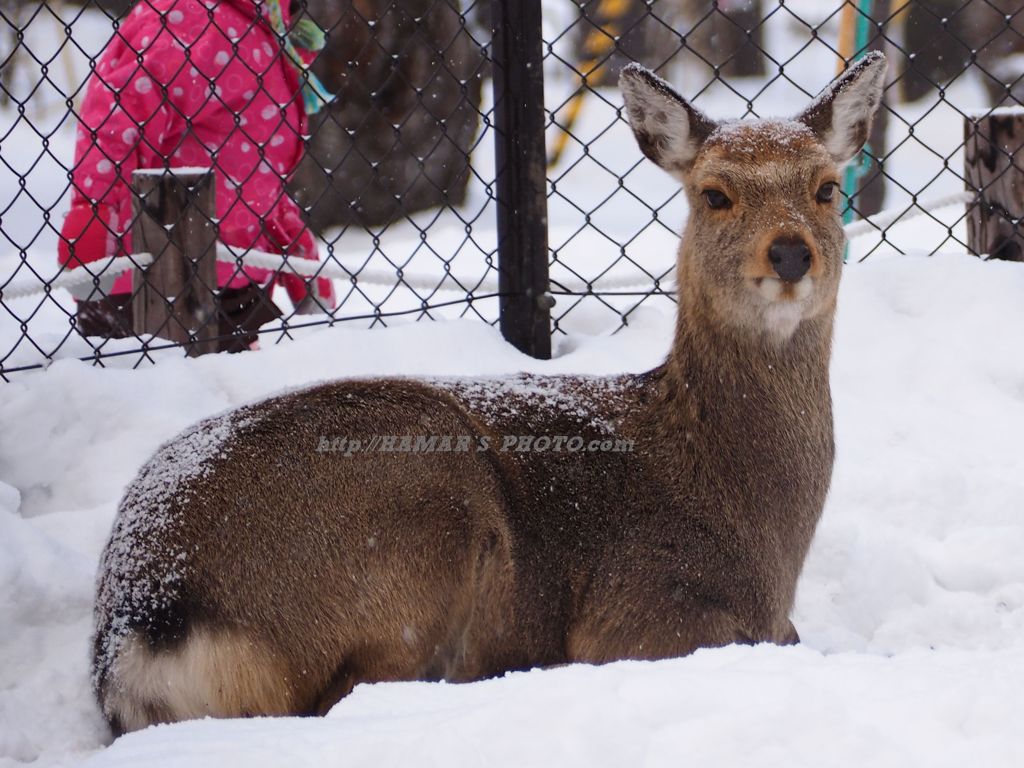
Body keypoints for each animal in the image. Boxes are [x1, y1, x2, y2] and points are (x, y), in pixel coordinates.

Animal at [92, 51, 884, 737]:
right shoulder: (638, 606)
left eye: (827, 188)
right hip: (419, 514)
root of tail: (143, 618)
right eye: (714, 194)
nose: (790, 252)